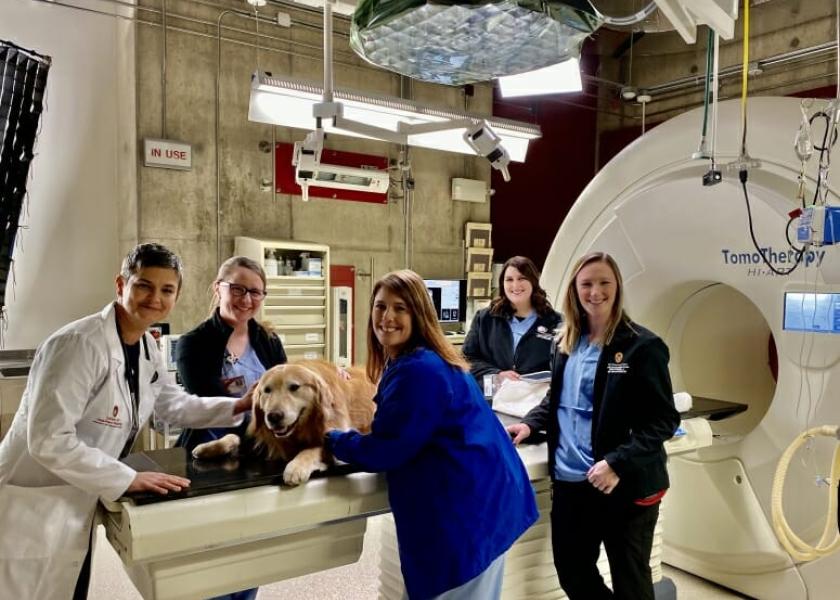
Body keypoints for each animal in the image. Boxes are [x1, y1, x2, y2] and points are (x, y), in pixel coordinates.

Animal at [192, 358, 376, 486]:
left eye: (294, 387)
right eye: (267, 390)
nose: (273, 416)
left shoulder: (340, 435)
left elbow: (313, 449)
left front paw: (295, 467)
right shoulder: (264, 437)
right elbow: (234, 436)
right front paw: (208, 447)